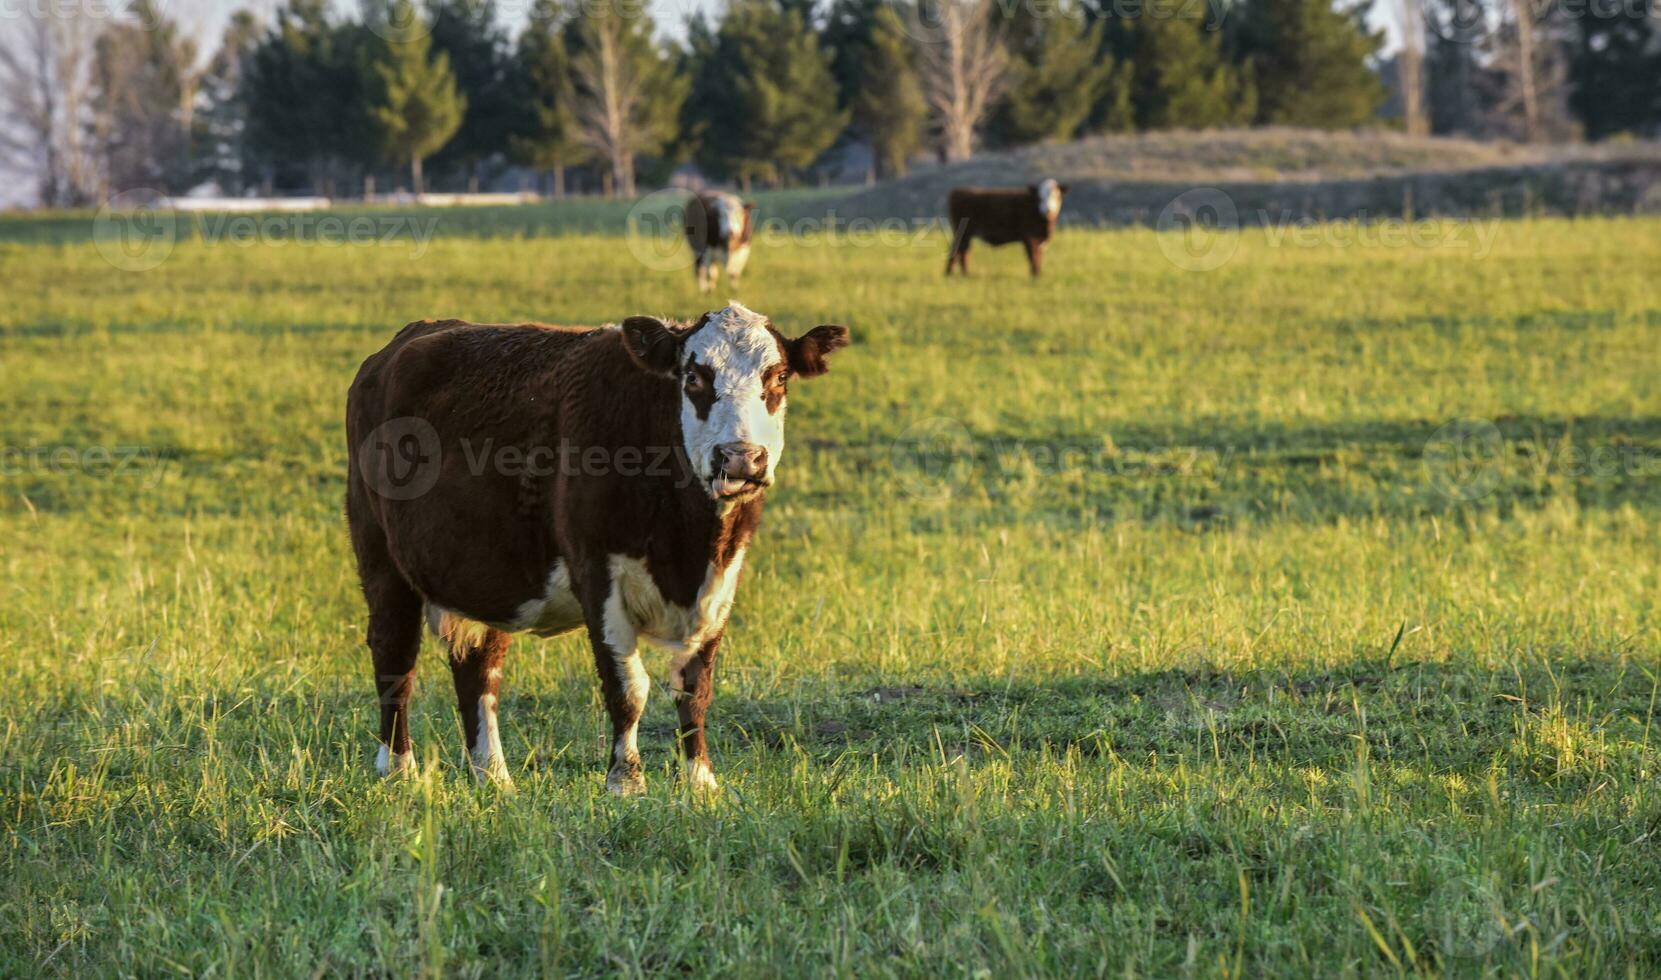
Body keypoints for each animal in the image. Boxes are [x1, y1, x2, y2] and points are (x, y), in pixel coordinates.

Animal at [343, 302, 850, 797]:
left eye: (778, 377)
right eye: (694, 378)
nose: (741, 457)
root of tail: (402, 342)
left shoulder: (723, 579)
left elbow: (694, 687)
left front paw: (700, 782)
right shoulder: (597, 573)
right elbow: (628, 687)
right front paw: (625, 780)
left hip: (483, 576)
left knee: (478, 669)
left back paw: (494, 777)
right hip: (381, 556)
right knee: (394, 657)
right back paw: (399, 769)